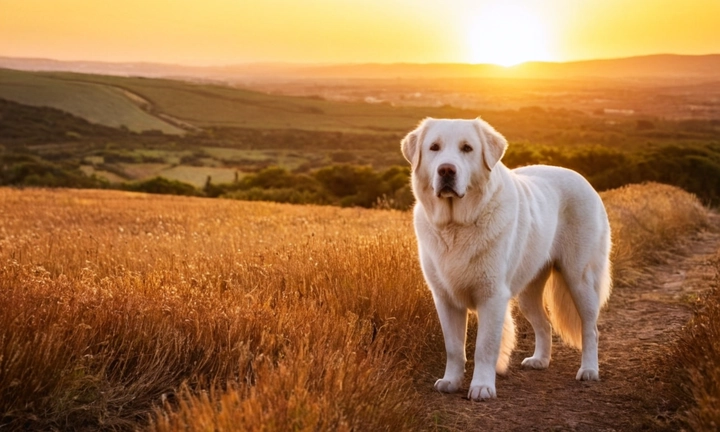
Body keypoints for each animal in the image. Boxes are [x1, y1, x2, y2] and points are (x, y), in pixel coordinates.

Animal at [402, 116, 612, 400]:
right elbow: (454, 347)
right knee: (544, 324)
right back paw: (539, 360)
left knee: (590, 328)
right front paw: (451, 381)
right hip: (527, 293)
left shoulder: (492, 296)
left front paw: (482, 387)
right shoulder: (445, 298)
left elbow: (484, 347)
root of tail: (582, 179)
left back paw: (589, 370)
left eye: (467, 148)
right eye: (434, 147)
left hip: (580, 280)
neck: (456, 226)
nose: (446, 171)